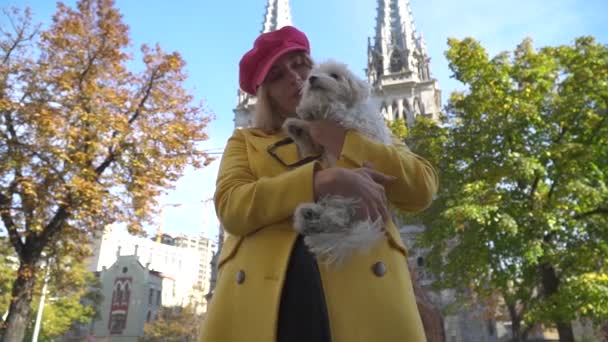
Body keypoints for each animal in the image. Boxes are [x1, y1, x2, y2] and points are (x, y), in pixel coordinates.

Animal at [282, 60, 392, 264]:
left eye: (335, 75)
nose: (312, 78)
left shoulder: (351, 121)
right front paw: (296, 125)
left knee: (337, 217)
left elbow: (332, 109)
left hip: (349, 192)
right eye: (313, 74)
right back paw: (308, 216)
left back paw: (311, 217)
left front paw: (310, 109)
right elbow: (308, 140)